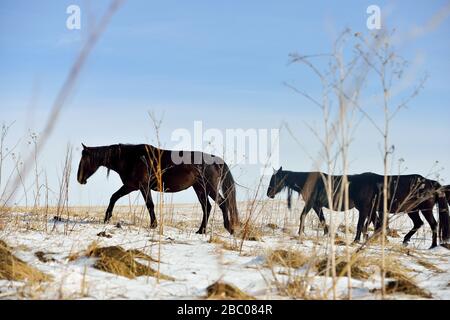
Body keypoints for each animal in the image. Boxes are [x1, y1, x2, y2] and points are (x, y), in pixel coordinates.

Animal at [76, 144, 239, 234]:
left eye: (85, 159)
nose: (79, 179)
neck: (131, 158)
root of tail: (215, 159)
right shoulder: (132, 186)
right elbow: (114, 197)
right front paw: (107, 217)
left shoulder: (140, 186)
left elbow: (149, 205)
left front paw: (153, 225)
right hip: (199, 188)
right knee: (207, 207)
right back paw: (201, 231)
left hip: (209, 188)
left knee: (222, 203)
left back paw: (229, 228)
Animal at [268, 168, 450, 248]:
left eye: (274, 179)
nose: (269, 193)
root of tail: (432, 183)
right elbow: (323, 220)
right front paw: (328, 233)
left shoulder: (314, 203)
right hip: (412, 210)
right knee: (419, 224)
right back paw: (406, 241)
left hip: (422, 209)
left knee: (433, 225)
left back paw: (432, 245)